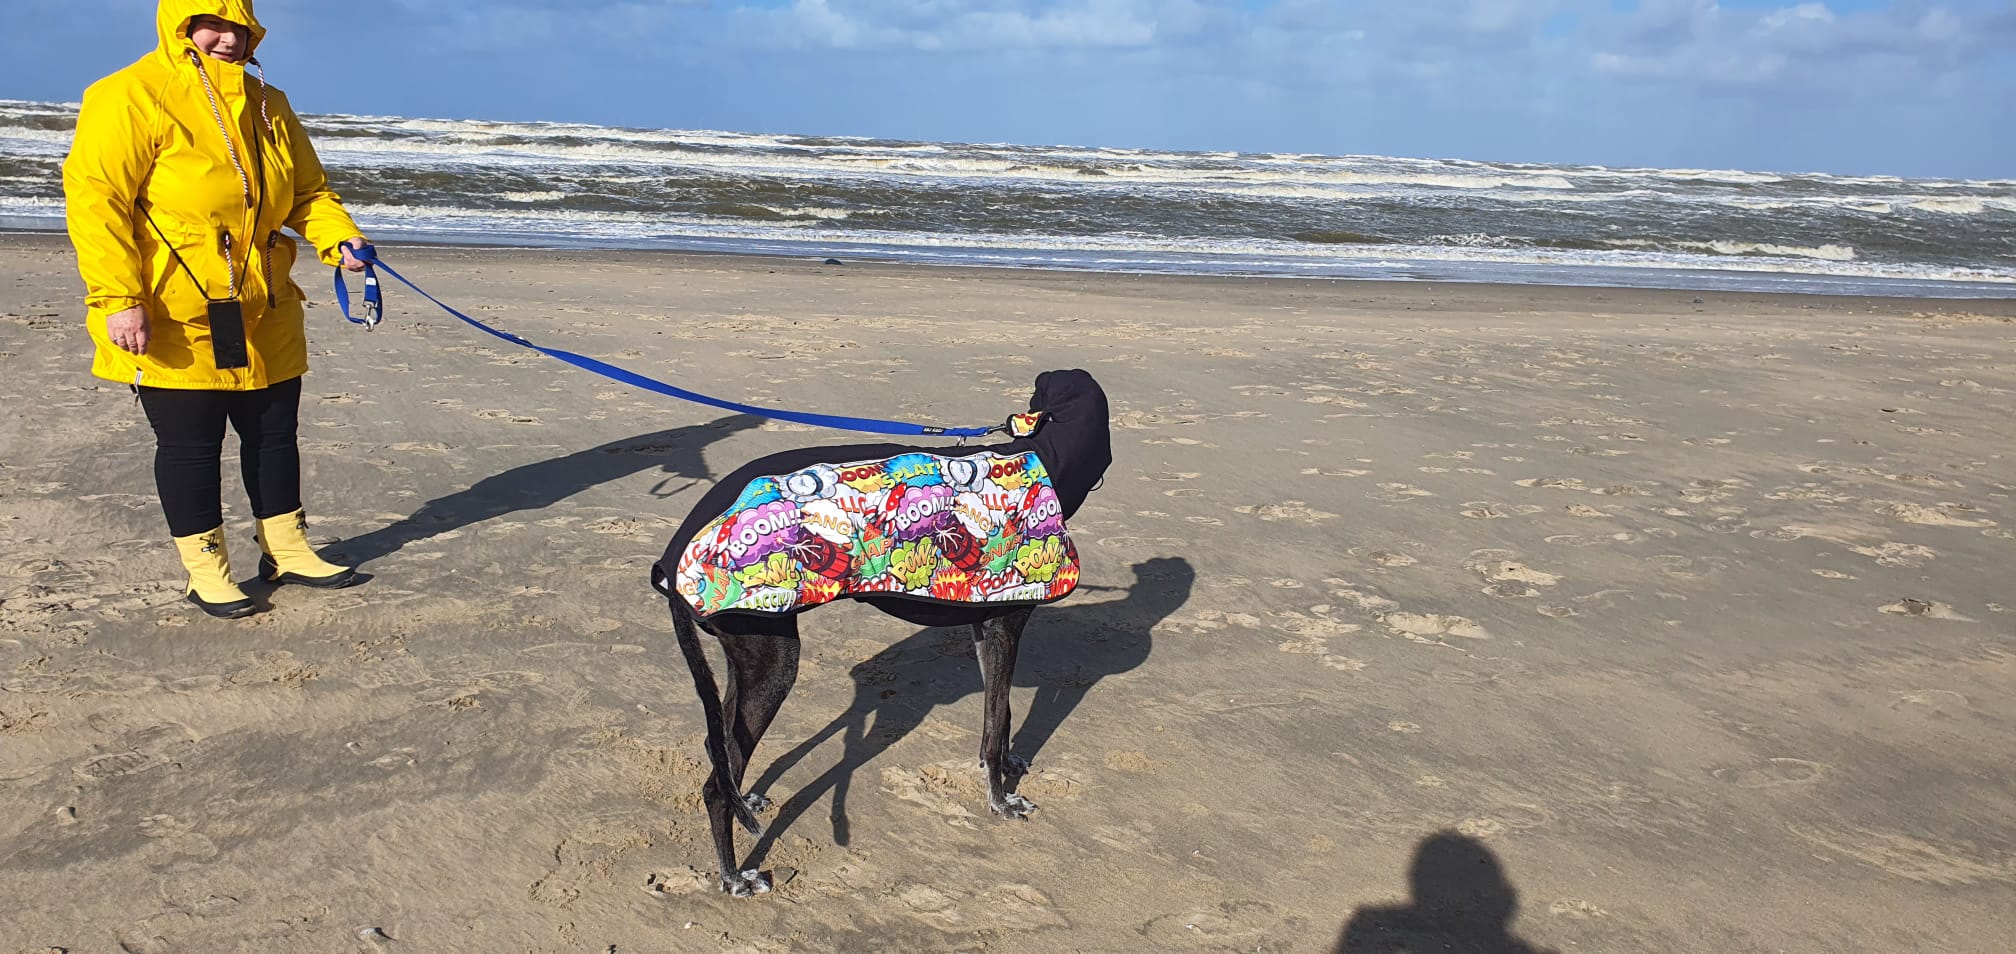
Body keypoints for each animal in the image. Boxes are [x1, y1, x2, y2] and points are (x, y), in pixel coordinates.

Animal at [650, 369, 1112, 896]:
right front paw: (1002, 799)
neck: (1045, 453)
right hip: (773, 664)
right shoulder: (1006, 626)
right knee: (714, 785)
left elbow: (1000, 714)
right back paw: (733, 875)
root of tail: (671, 558)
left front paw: (1005, 766)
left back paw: (743, 798)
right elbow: (996, 721)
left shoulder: (985, 623)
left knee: (720, 751)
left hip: (744, 662)